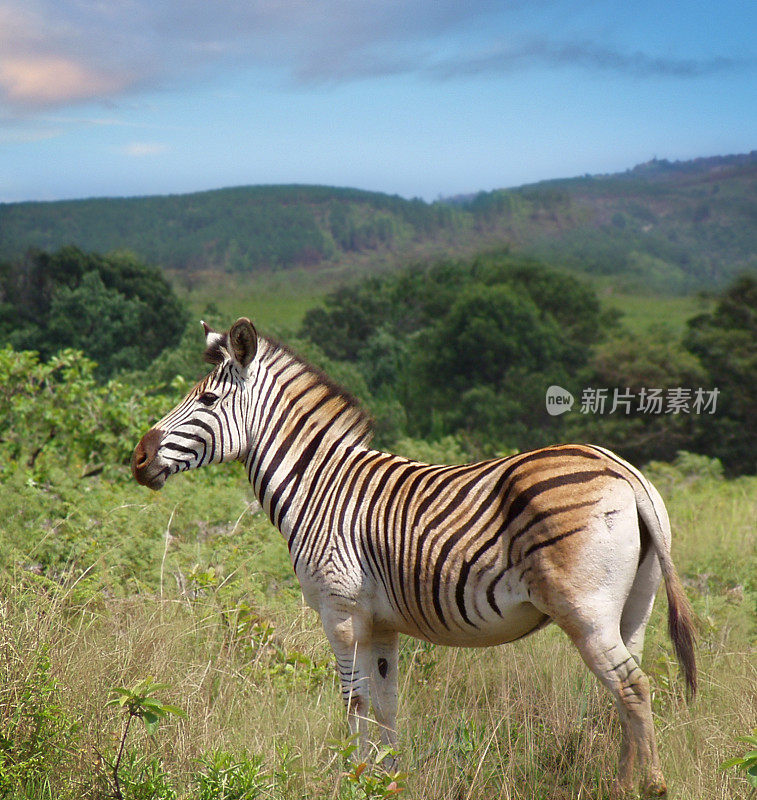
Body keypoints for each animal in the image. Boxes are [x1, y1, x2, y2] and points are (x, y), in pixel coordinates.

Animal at [133, 316, 692, 796]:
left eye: (207, 399)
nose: (137, 458)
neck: (319, 486)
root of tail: (627, 473)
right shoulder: (381, 623)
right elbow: (387, 707)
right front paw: (389, 781)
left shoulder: (341, 612)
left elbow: (354, 702)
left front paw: (354, 779)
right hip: (633, 609)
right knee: (624, 692)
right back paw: (622, 784)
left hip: (585, 608)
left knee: (633, 688)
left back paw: (651, 786)